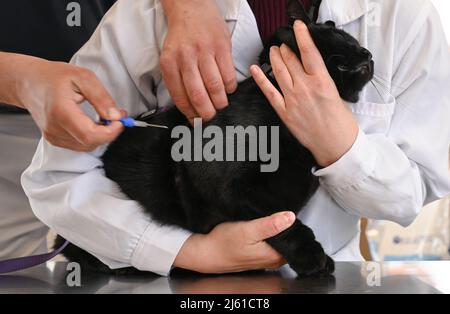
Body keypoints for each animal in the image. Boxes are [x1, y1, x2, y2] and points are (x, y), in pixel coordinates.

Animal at [55, 1, 372, 276]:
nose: (368, 54)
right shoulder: (229, 188)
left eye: (353, 40)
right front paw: (313, 257)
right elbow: (287, 224)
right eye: (343, 40)